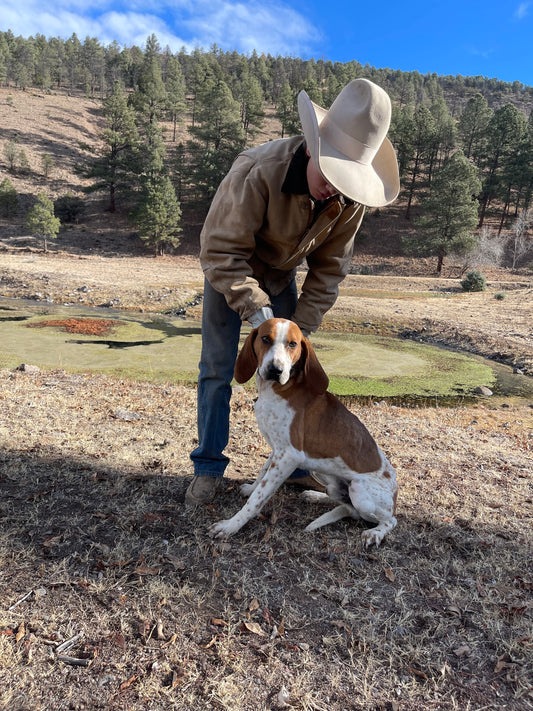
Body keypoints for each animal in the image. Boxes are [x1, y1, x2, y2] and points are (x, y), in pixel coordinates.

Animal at [210, 320, 396, 548]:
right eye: (265, 339)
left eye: (293, 344)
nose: (275, 370)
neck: (277, 390)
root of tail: (395, 498)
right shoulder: (277, 450)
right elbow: (262, 474)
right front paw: (252, 488)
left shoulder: (288, 456)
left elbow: (257, 500)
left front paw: (230, 526)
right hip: (327, 476)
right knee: (343, 501)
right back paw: (315, 495)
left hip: (360, 491)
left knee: (389, 520)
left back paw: (375, 532)